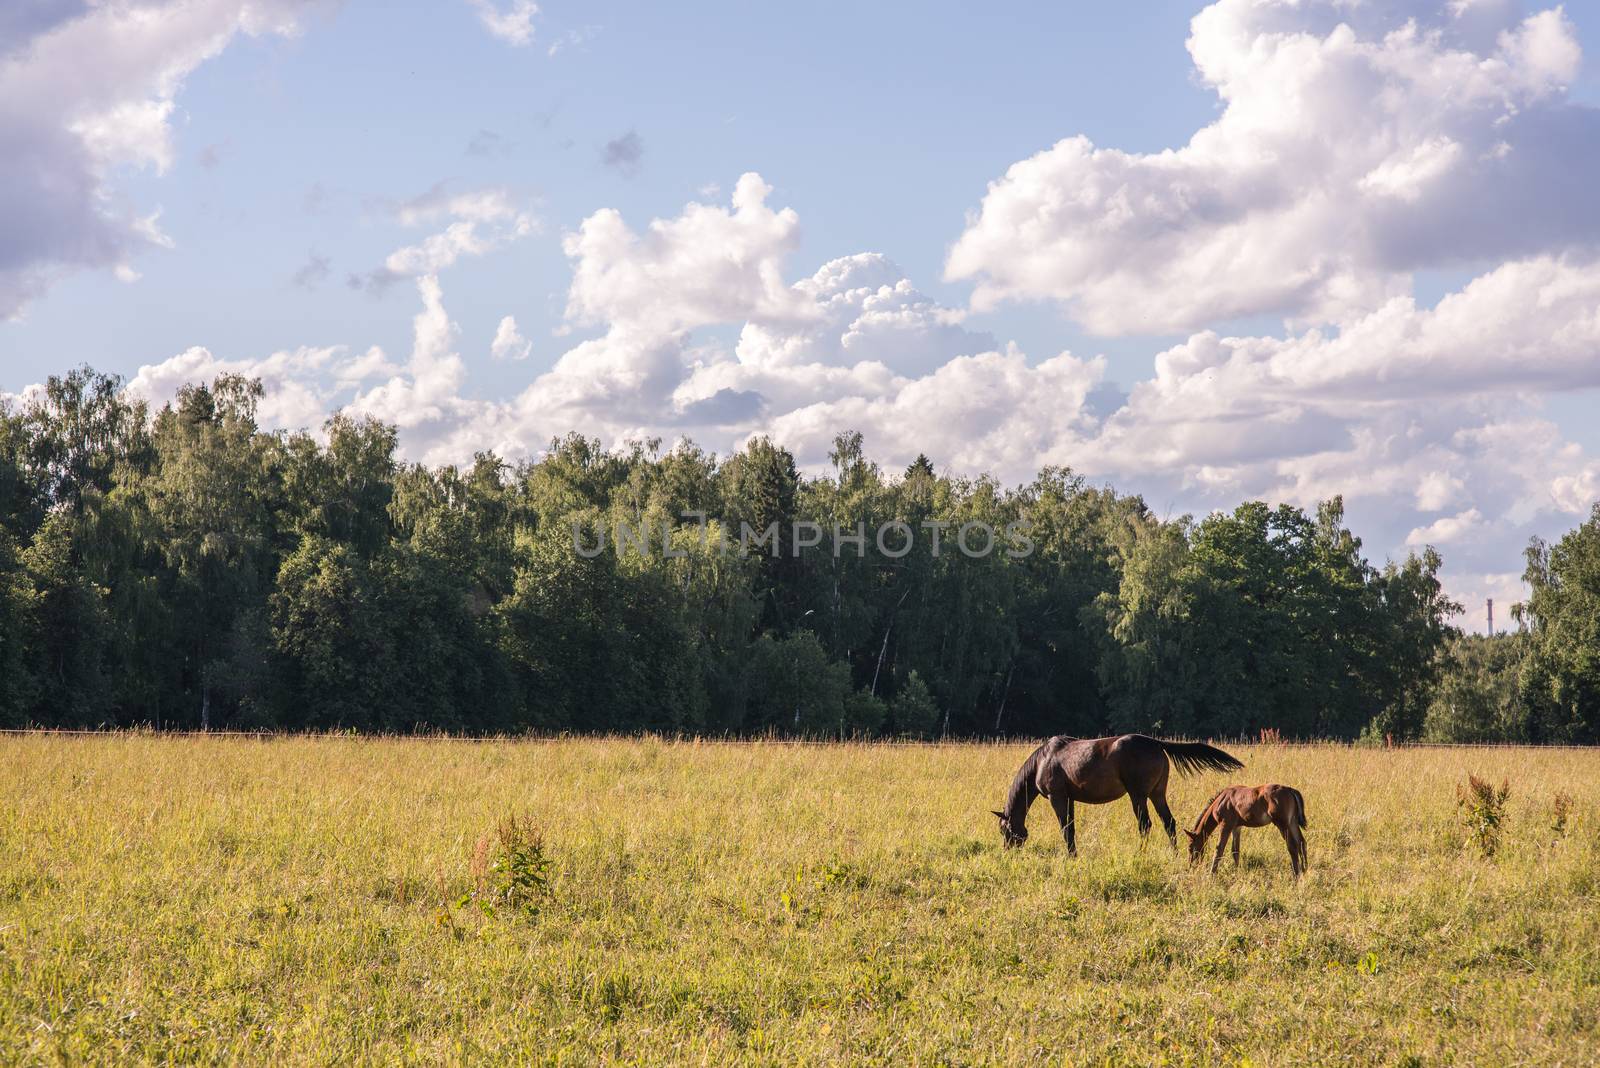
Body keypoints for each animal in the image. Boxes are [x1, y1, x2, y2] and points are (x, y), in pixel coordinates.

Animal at [985, 738, 1248, 856]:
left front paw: (1071, 855)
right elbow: (1071, 826)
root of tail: (1156, 744)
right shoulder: (1069, 798)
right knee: (1169, 823)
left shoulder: (1056, 797)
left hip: (1138, 795)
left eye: (1004, 830)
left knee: (1145, 824)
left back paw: (1141, 853)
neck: (1043, 761)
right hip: (1157, 794)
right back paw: (1173, 853)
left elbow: (1065, 827)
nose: (1008, 851)